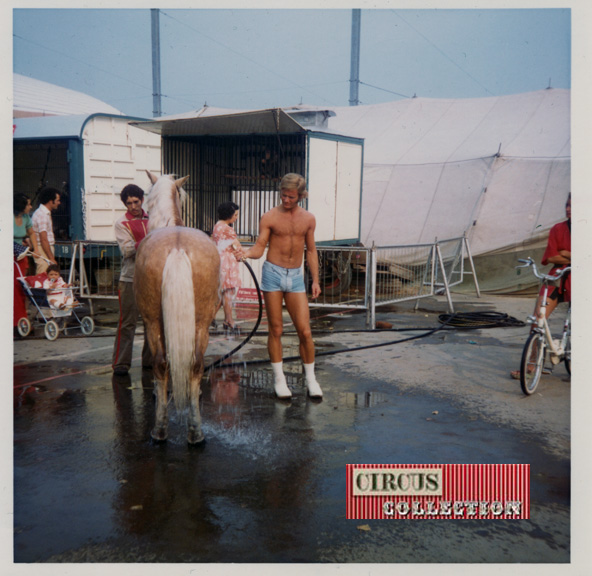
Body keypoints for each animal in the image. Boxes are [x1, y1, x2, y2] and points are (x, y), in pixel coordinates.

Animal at [135, 171, 221, 446]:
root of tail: (177, 247)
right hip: (202, 323)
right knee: (195, 365)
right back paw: (196, 432)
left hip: (152, 321)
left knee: (161, 364)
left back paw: (159, 430)